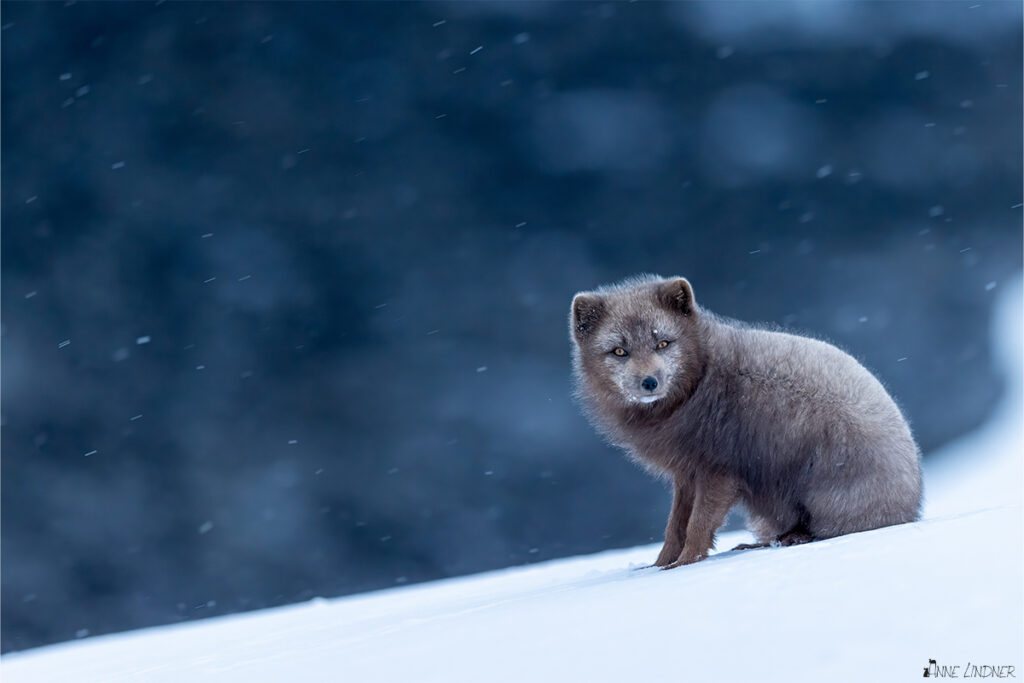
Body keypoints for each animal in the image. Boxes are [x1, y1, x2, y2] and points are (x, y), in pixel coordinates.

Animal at [573, 274, 925, 569]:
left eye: (663, 343)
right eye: (619, 351)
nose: (649, 382)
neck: (698, 381)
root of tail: (912, 510)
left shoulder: (718, 470)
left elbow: (698, 523)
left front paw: (685, 564)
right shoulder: (686, 472)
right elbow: (675, 526)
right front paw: (658, 566)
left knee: (823, 531)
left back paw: (789, 539)